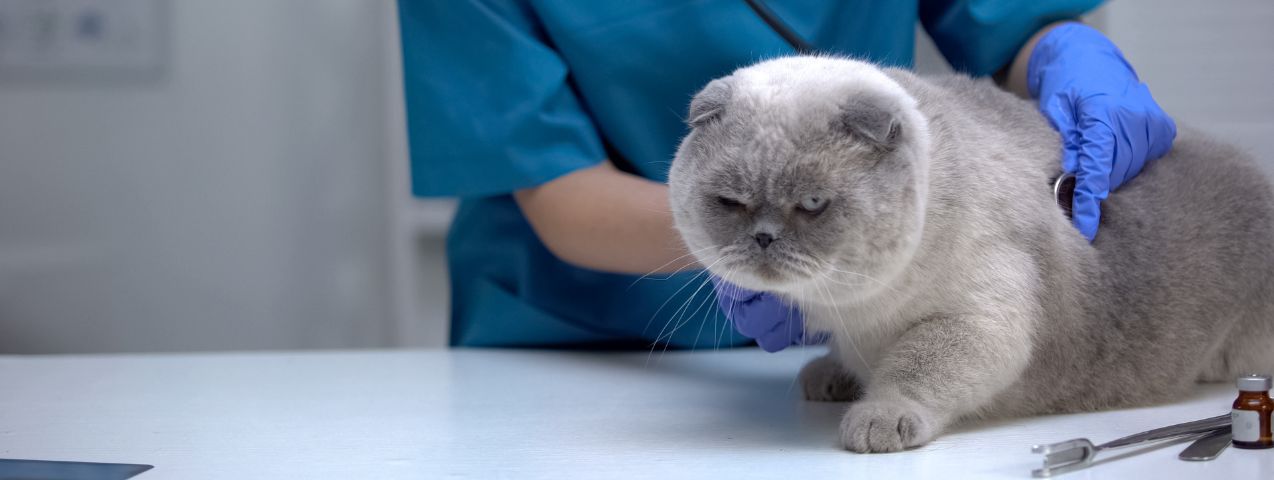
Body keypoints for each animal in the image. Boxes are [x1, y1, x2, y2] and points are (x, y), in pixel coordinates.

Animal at [662, 56, 1274, 453]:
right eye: (732, 202)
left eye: (812, 204)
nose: (764, 237)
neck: (854, 310)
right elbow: (852, 359)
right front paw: (831, 376)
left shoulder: (976, 320)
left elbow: (915, 368)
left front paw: (876, 420)